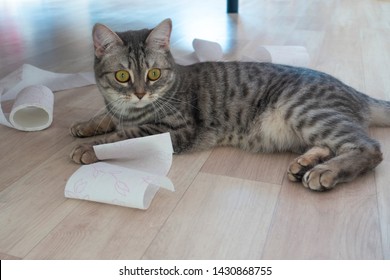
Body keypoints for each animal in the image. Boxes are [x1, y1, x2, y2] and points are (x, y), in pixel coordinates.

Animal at [68, 18, 388, 191]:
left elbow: (124, 135)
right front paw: (86, 125)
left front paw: (89, 147)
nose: (139, 93)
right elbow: (109, 118)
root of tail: (355, 91)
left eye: (153, 74)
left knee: (368, 147)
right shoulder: (120, 110)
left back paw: (325, 171)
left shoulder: (174, 130)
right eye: (122, 76)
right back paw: (304, 165)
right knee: (331, 145)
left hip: (306, 110)